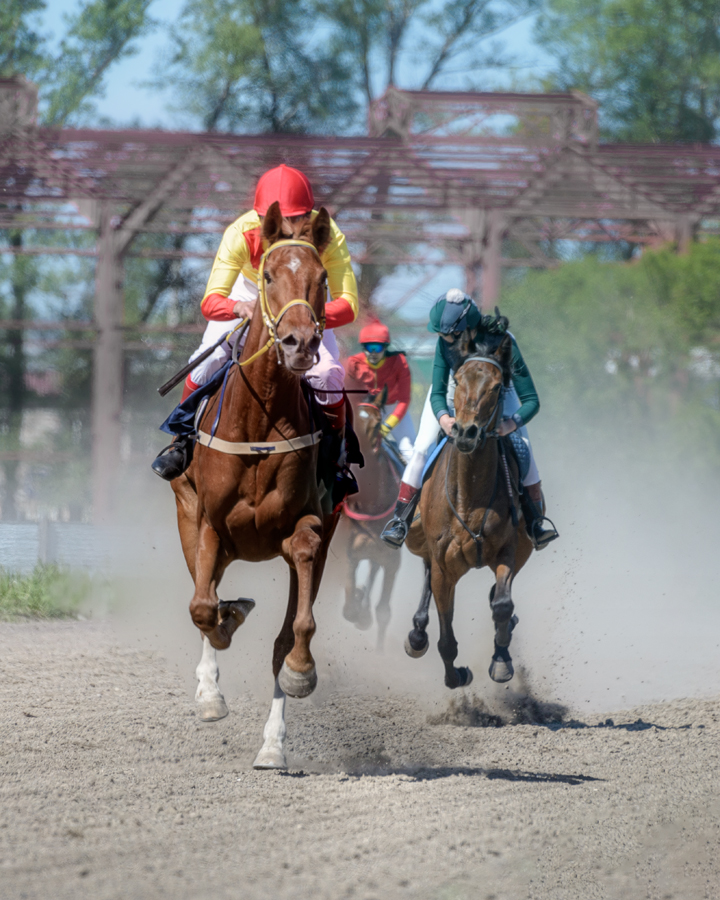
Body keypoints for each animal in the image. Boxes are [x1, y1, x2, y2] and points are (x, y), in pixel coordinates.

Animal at [173, 200, 342, 768]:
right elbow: (202, 607)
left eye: (322, 278)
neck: (261, 418)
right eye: (267, 276)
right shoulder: (208, 523)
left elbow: (293, 630)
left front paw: (300, 673)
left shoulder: (306, 529)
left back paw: (272, 745)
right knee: (205, 592)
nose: (299, 343)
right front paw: (211, 685)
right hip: (189, 518)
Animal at [404, 336, 536, 688]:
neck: (470, 494)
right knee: (426, 575)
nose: (465, 432)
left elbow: (502, 605)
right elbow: (446, 638)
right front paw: (456, 676)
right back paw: (417, 635)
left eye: (497, 387)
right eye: (459, 380)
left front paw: (501, 660)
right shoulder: (443, 567)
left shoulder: (508, 550)